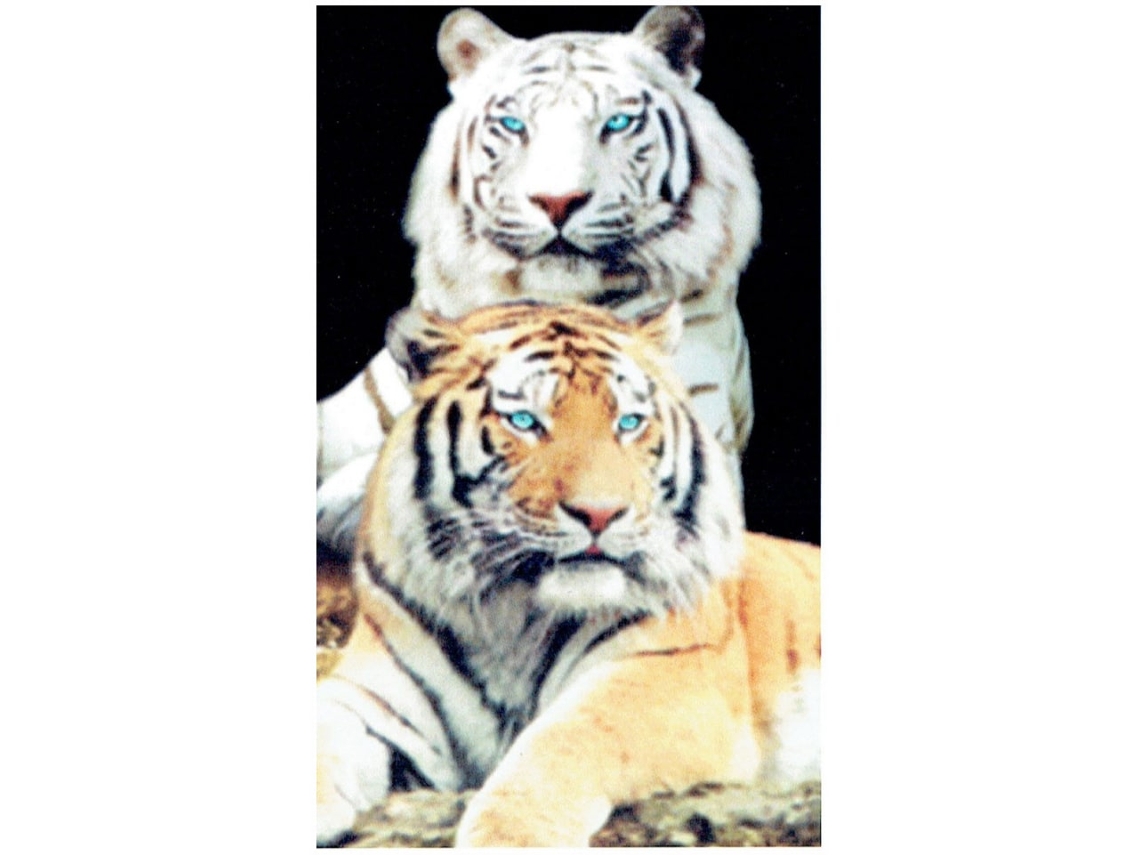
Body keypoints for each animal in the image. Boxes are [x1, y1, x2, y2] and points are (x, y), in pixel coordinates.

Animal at [315, 302, 819, 847]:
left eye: (629, 422)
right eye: (524, 421)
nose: (600, 514)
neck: (509, 612)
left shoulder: (666, 673)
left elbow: (565, 740)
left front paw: (511, 837)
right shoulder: (369, 696)